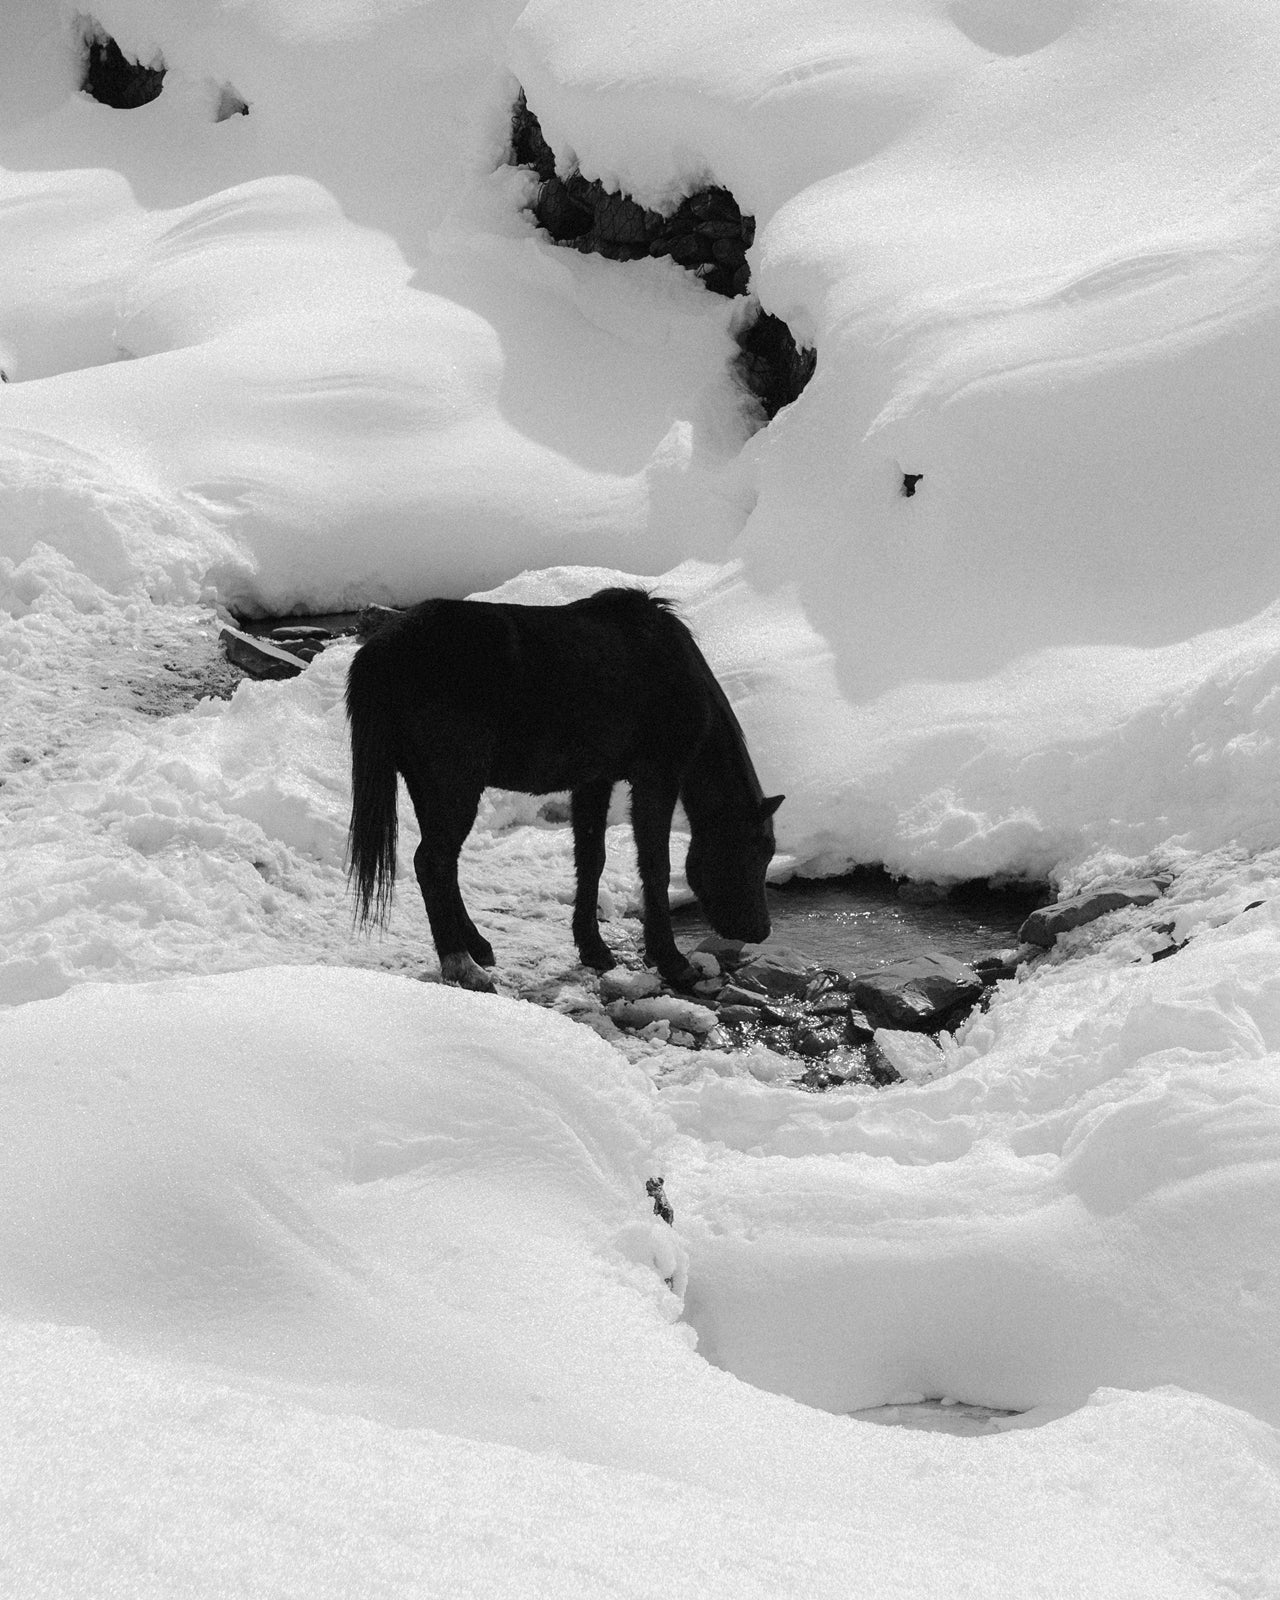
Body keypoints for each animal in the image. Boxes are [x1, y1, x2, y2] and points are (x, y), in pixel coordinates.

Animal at [345, 588, 780, 985]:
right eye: (757, 849)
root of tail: (382, 649)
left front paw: (594, 948)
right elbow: (655, 864)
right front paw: (671, 960)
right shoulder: (656, 778)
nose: (760, 931)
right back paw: (462, 964)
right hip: (453, 782)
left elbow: (591, 859)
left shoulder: (594, 781)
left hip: (426, 784)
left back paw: (478, 947)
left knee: (443, 864)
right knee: (432, 862)